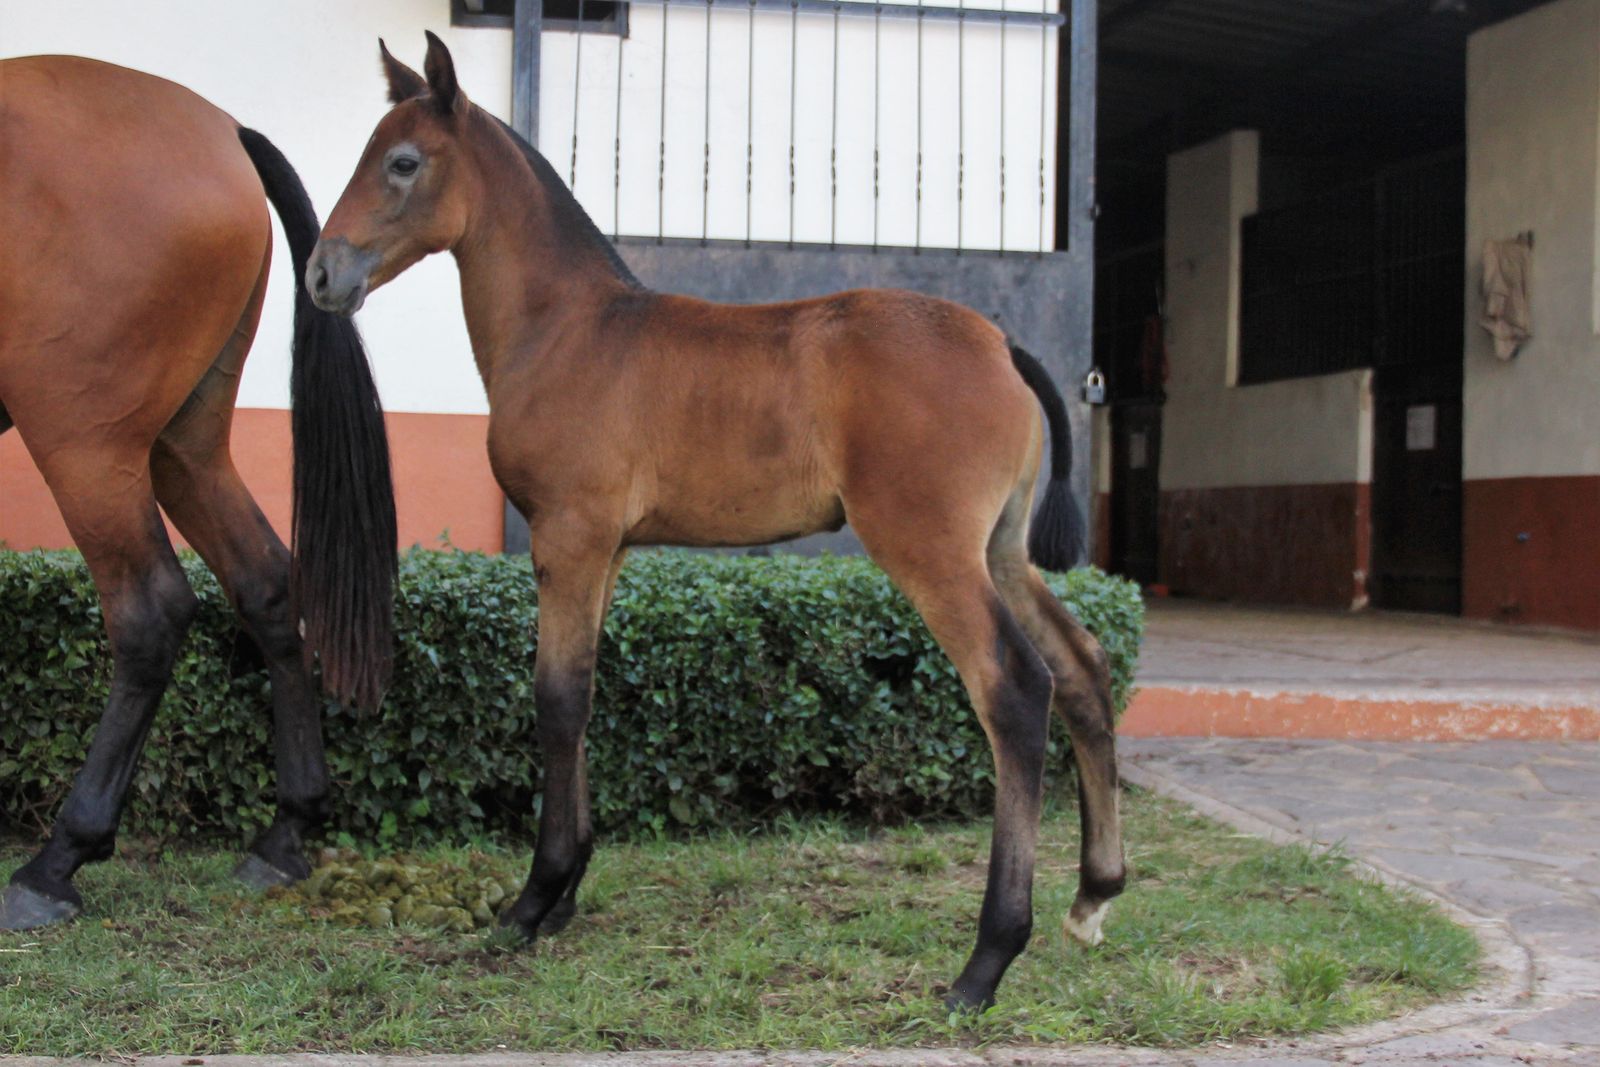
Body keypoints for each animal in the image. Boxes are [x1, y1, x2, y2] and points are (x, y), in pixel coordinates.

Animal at [0, 56, 397, 930]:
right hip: (185, 443)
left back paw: (57, 860)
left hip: (86, 442)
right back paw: (285, 832)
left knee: (150, 612)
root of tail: (224, 129)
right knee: (268, 583)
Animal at [309, 32, 1125, 1011]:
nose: (322, 273)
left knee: (1015, 687)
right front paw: (568, 890)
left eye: (401, 162)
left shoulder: (568, 534)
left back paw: (987, 958)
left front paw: (532, 901)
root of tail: (1000, 343)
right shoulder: (609, 549)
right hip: (999, 550)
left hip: (930, 549)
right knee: (1082, 666)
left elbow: (556, 698)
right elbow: (586, 695)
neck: (570, 326)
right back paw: (1094, 896)